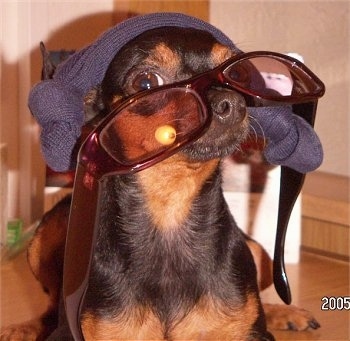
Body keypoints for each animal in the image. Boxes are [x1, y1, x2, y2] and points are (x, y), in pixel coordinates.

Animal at [2, 25, 320, 338]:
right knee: (51, 306)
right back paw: (25, 328)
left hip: (258, 252)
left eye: (239, 74)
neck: (170, 208)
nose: (231, 103)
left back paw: (286, 313)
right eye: (146, 82)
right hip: (43, 239)